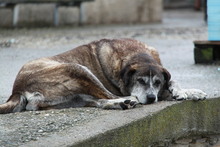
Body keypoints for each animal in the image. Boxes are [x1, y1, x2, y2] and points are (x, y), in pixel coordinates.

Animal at [0, 38, 206, 113]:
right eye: (140, 80)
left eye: (157, 82)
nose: (150, 98)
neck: (137, 54)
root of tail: (17, 89)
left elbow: (172, 80)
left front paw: (188, 92)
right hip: (78, 69)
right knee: (107, 94)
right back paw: (126, 100)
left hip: (74, 97)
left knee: (97, 100)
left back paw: (121, 103)